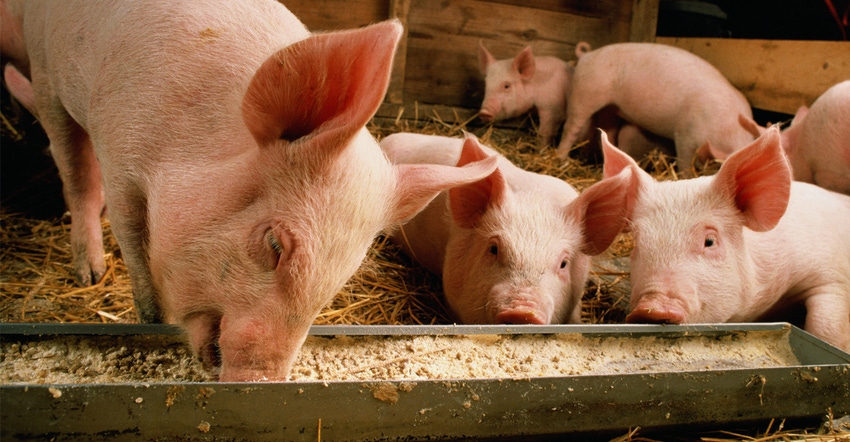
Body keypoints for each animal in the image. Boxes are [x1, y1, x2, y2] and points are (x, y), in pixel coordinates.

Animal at [3, 0, 496, 380]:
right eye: (276, 244)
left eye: (343, 275)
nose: (261, 381)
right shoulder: (119, 150)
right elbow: (134, 249)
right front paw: (143, 316)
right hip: (45, 71)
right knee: (74, 168)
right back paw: (89, 273)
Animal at [556, 43, 760, 170]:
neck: (729, 129)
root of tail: (586, 55)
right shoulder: (684, 135)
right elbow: (684, 164)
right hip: (585, 92)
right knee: (571, 127)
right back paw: (561, 158)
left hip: (610, 107)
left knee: (608, 132)